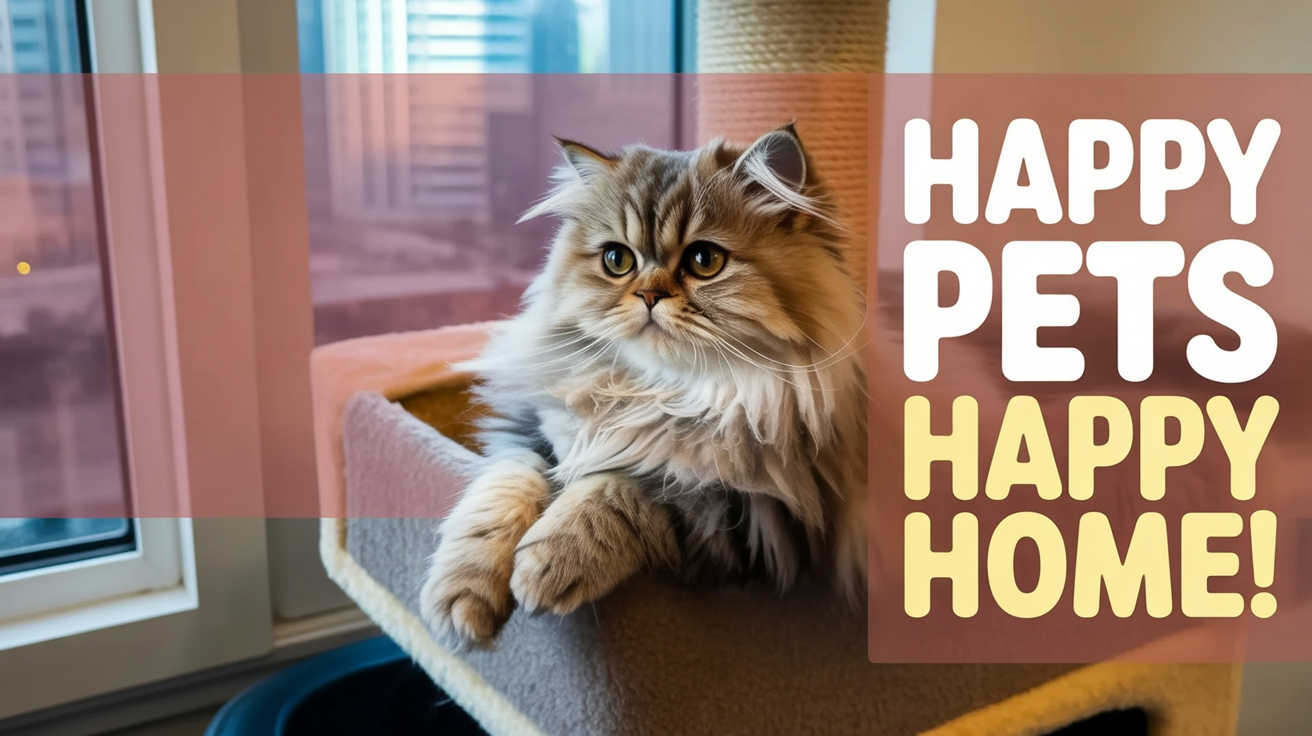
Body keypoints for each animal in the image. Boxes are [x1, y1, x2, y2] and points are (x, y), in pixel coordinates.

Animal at [420, 123, 870, 648]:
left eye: (705, 260)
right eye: (618, 260)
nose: (649, 295)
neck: (658, 394)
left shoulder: (749, 518)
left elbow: (622, 491)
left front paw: (545, 566)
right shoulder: (532, 434)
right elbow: (498, 496)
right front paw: (458, 603)